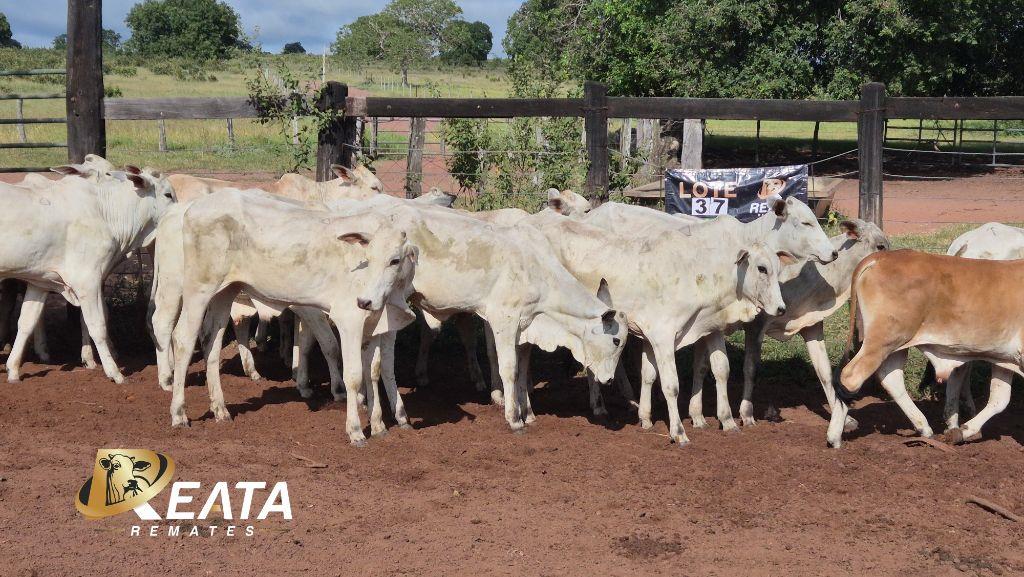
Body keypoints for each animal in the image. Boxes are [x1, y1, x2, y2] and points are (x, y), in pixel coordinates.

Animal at [0, 163, 175, 383]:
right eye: (168, 194)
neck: (105, 212)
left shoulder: (40, 283)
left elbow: (26, 322)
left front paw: (13, 369)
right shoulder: (88, 281)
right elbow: (97, 325)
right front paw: (114, 372)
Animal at [167, 188, 419, 446]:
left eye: (395, 260)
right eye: (368, 257)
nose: (365, 301)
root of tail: (194, 207)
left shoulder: (376, 324)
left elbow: (374, 371)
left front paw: (378, 425)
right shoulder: (349, 319)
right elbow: (354, 376)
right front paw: (356, 431)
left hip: (225, 291)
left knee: (211, 341)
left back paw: (220, 409)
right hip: (198, 288)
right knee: (182, 338)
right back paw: (179, 414)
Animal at [691, 219, 888, 429]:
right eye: (880, 246)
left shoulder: (812, 326)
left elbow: (824, 372)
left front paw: (844, 418)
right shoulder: (756, 324)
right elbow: (750, 368)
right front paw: (747, 414)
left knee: (700, 366)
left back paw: (697, 416)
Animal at [830, 250, 1024, 448]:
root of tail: (882, 257)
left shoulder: (1004, 359)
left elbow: (999, 399)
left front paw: (961, 432)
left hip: (895, 344)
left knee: (891, 378)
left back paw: (924, 427)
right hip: (882, 340)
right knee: (851, 377)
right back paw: (835, 437)